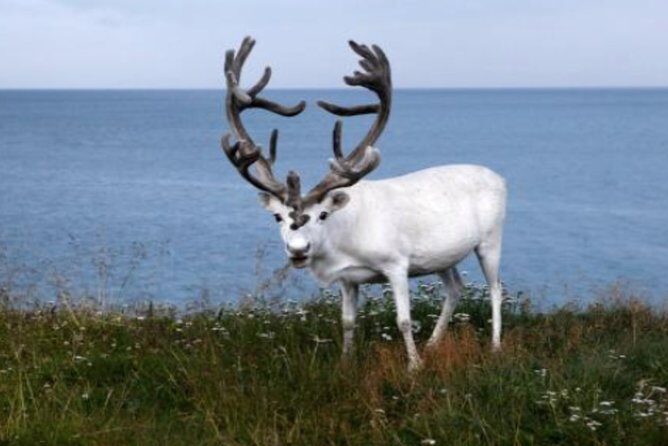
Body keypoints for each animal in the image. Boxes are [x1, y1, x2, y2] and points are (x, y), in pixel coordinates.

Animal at [220, 36, 507, 370]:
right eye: (277, 217)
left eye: (323, 214)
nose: (298, 250)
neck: (345, 243)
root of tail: (501, 178)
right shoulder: (347, 279)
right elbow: (347, 321)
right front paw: (345, 362)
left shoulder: (397, 263)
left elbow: (403, 320)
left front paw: (413, 366)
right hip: (441, 257)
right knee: (455, 288)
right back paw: (434, 343)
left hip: (491, 239)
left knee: (495, 288)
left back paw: (495, 346)